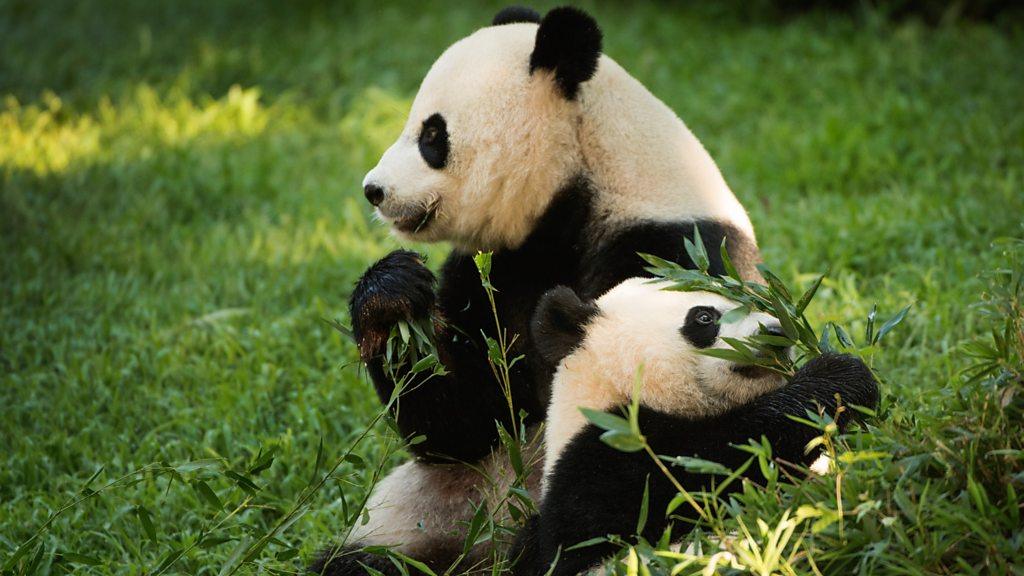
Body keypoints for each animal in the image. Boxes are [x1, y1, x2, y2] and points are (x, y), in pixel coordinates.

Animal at [315, 5, 765, 573]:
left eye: (432, 136)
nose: (373, 190)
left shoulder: (675, 245)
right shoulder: (498, 266)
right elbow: (462, 425)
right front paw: (392, 293)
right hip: (430, 511)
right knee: (360, 558)